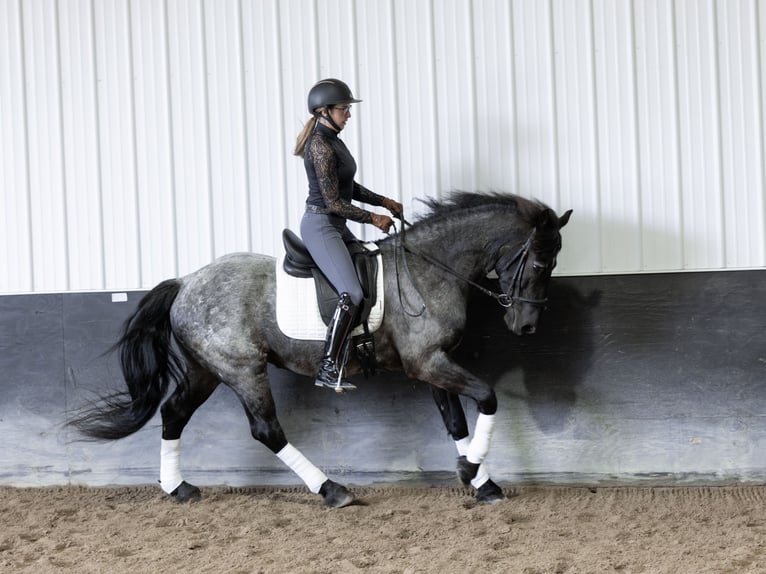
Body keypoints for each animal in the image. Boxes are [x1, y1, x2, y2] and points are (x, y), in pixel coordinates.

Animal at [71, 192, 572, 508]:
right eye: (539, 263)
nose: (527, 326)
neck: (432, 270)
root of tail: (186, 281)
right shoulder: (428, 362)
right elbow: (487, 397)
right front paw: (471, 470)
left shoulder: (431, 363)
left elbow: (455, 421)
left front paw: (481, 481)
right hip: (242, 370)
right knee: (266, 430)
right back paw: (332, 490)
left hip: (205, 370)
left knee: (174, 413)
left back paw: (178, 489)